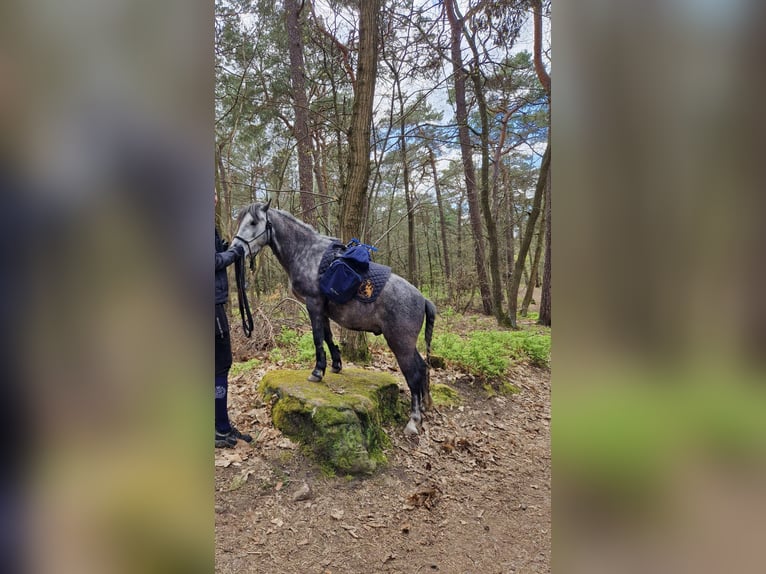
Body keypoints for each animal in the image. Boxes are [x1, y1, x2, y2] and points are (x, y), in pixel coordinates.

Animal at [232, 202, 438, 436]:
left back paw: (414, 420)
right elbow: (328, 337)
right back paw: (424, 406)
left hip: (400, 343)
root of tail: (422, 299)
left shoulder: (313, 304)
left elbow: (317, 337)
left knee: (413, 375)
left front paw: (317, 371)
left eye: (253, 222)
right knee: (422, 368)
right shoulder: (323, 309)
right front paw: (335, 364)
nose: (236, 248)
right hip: (408, 345)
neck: (306, 254)